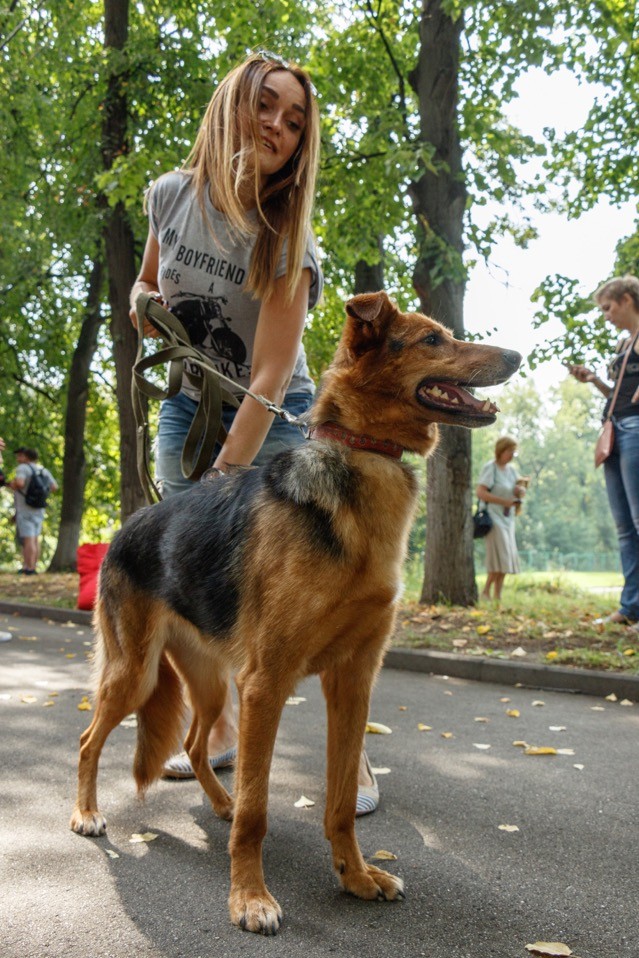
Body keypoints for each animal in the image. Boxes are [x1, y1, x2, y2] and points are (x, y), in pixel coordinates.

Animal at [71, 292, 520, 936]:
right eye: (433, 340)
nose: (515, 356)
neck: (361, 458)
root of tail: (127, 528)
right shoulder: (267, 684)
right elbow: (259, 812)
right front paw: (249, 897)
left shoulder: (351, 682)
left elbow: (339, 802)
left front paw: (356, 876)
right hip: (136, 674)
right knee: (89, 740)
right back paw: (87, 813)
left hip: (211, 684)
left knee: (195, 745)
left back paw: (220, 803)